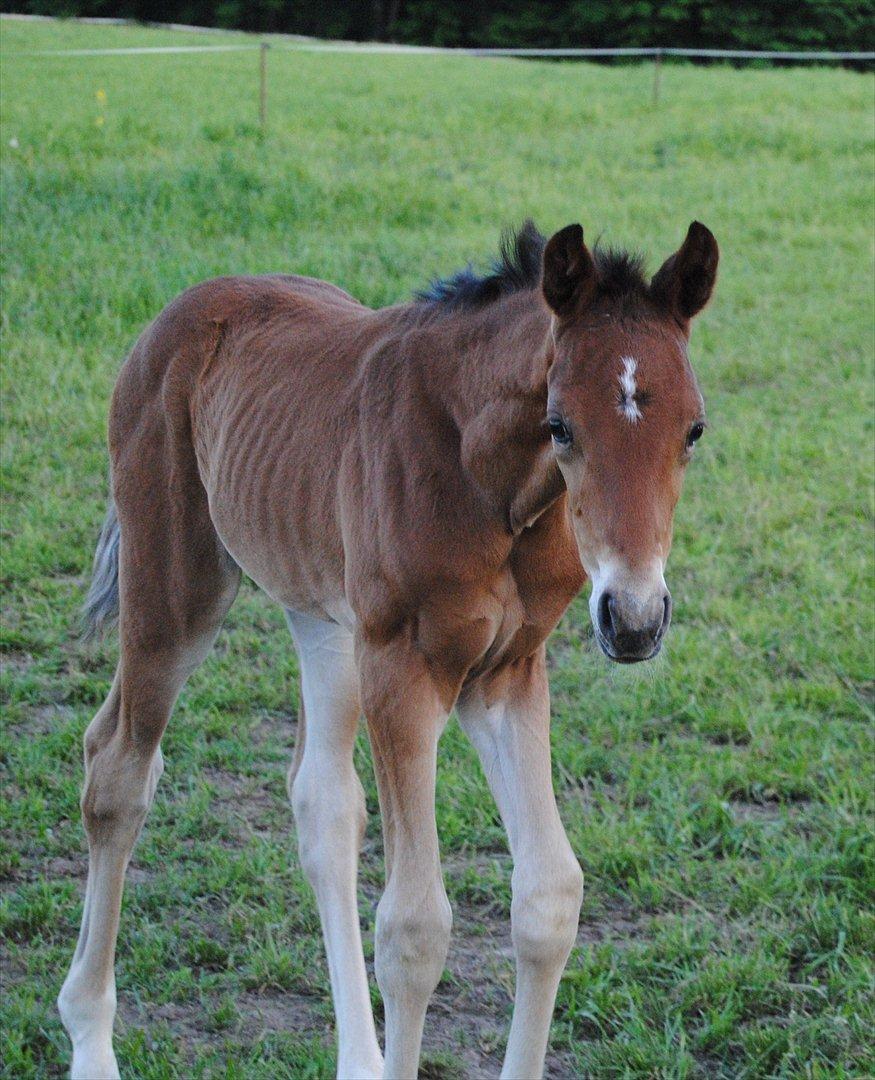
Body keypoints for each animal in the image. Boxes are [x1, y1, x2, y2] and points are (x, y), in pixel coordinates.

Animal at [56, 214, 717, 1075]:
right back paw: (90, 1041)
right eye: (560, 425)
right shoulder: (405, 669)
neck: (488, 480)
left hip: (324, 616)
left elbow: (548, 896)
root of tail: (188, 305)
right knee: (118, 769)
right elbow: (413, 929)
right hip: (176, 587)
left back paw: (355, 1057)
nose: (633, 618)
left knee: (322, 800)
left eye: (693, 429)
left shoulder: (505, 672)